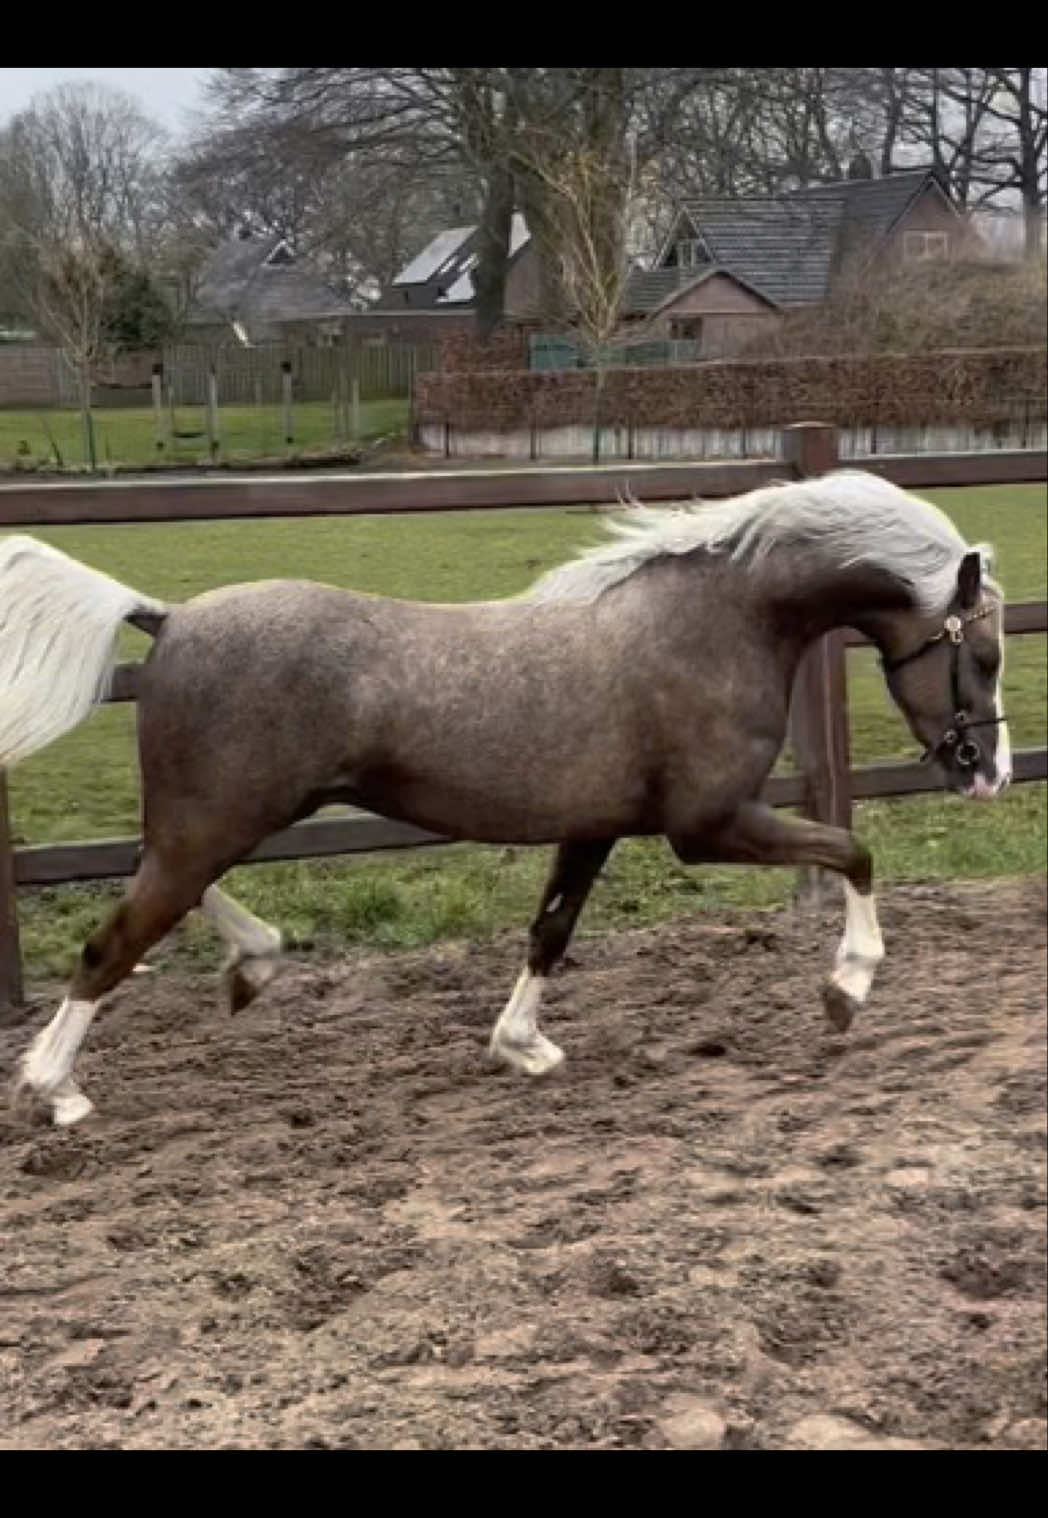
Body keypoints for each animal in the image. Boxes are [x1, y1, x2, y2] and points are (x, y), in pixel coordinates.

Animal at [0, 470, 1010, 1128]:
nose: (989, 773)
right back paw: (56, 1088)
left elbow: (549, 933)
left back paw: (252, 963)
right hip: (218, 822)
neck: (714, 626)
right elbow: (851, 850)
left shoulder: (597, 829)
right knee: (112, 941)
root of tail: (168, 618)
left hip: (218, 821)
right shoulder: (709, 827)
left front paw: (522, 1045)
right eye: (987, 655)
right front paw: (847, 988)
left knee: (157, 894)